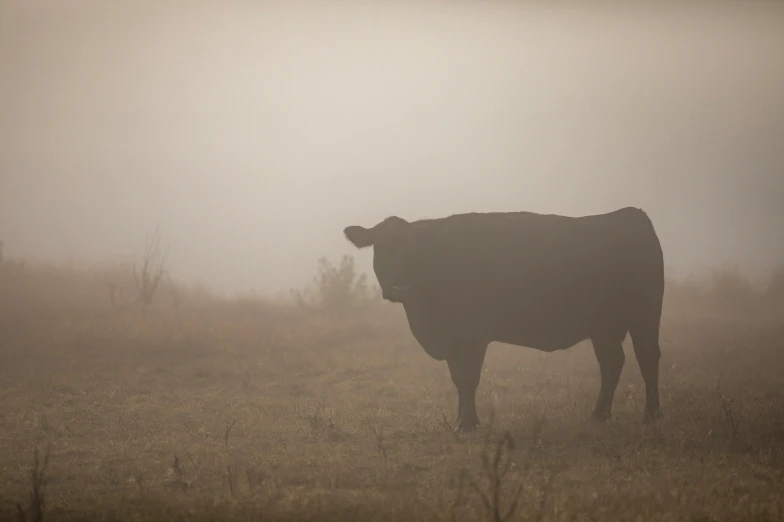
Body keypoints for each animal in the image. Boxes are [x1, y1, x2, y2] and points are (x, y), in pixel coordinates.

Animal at [346, 206, 664, 430]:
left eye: (414, 250)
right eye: (381, 248)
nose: (400, 287)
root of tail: (630, 215)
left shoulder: (473, 335)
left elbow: (468, 378)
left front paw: (467, 424)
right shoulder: (454, 339)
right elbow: (457, 378)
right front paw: (463, 420)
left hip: (645, 316)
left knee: (647, 358)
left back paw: (651, 416)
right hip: (603, 327)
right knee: (612, 362)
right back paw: (599, 416)